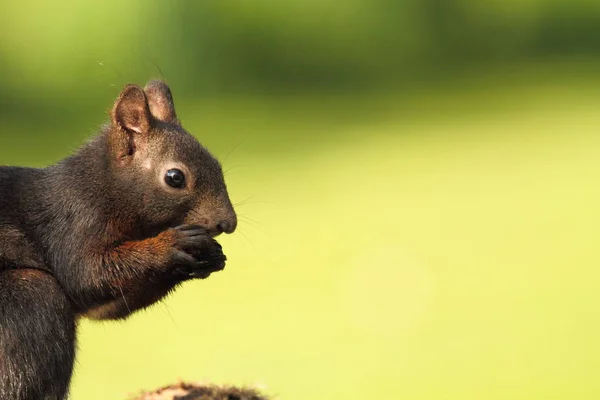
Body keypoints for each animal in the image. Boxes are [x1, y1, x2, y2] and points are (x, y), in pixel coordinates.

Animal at [0, 79, 238, 398]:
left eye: (217, 165)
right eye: (175, 177)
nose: (228, 223)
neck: (100, 188)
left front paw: (209, 256)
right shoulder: (74, 225)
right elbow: (86, 275)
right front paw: (172, 244)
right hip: (29, 299)